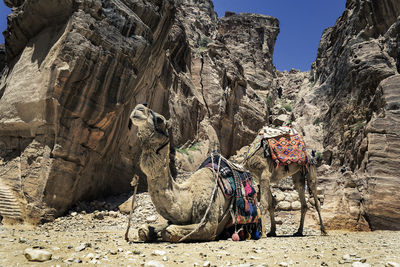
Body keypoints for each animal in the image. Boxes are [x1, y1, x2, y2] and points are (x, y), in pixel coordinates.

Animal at [130, 104, 233, 243]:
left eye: (160, 119)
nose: (139, 108)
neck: (189, 195)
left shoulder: (210, 224)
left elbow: (169, 231)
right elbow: (143, 230)